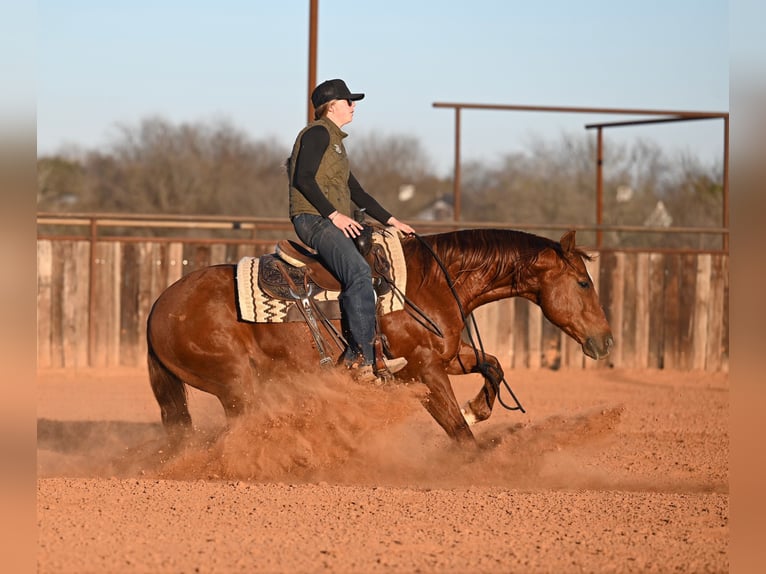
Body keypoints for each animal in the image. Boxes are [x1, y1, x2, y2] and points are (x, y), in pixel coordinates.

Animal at [147, 228, 613, 446]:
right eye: (584, 283)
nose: (606, 341)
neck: (430, 281)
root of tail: (158, 307)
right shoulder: (424, 371)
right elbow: (459, 434)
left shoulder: (445, 356)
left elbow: (493, 365)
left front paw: (478, 409)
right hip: (236, 385)